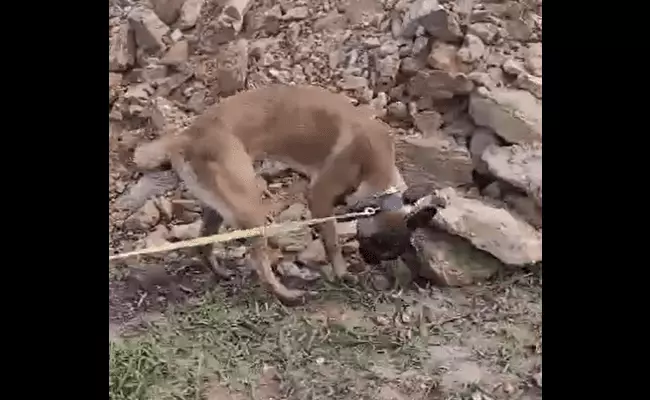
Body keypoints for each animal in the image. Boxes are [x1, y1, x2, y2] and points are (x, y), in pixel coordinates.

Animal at [132, 85, 412, 304]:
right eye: (380, 247)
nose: (372, 263)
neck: (376, 163)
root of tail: (186, 137)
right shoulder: (319, 197)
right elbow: (332, 241)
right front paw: (342, 273)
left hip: (217, 205)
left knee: (204, 243)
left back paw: (220, 272)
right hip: (249, 207)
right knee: (260, 263)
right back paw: (285, 294)